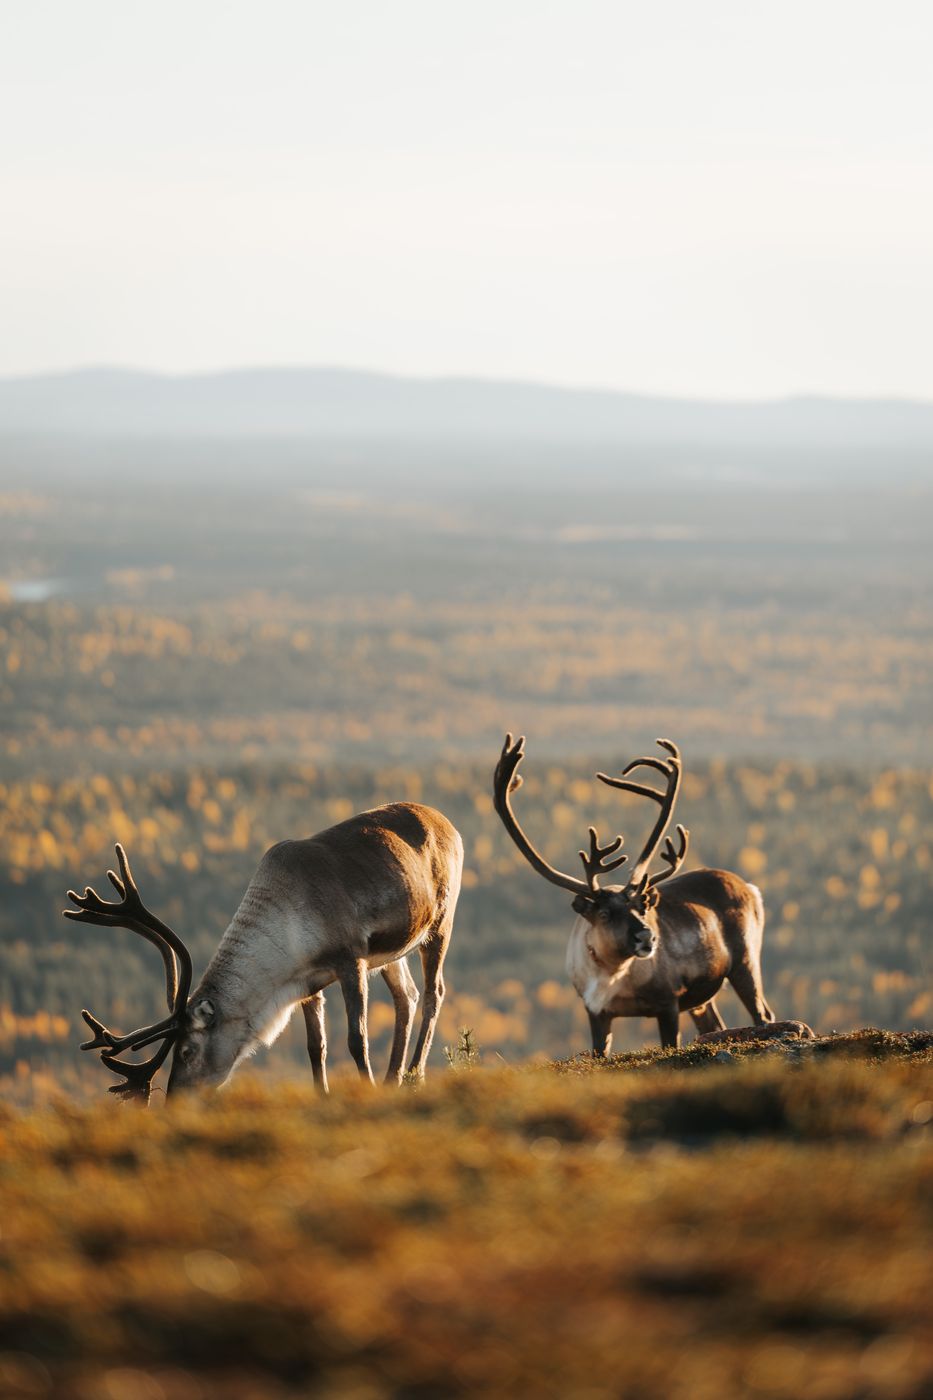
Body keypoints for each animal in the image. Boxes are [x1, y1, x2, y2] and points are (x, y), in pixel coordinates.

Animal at [63, 801, 463, 1102]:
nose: (174, 1098)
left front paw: (364, 1088)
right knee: (406, 996)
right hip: (395, 950)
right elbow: (316, 1045)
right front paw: (322, 1094)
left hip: (440, 923)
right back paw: (393, 1078)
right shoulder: (308, 981)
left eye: (186, 1051)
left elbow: (356, 1039)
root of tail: (447, 822)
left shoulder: (351, 958)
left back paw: (414, 1074)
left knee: (434, 993)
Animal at [493, 734, 776, 1053]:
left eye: (642, 908)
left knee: (762, 1012)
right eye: (604, 913)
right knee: (714, 1024)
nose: (647, 937)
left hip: (745, 959)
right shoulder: (595, 1011)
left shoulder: (668, 1003)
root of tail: (749, 887)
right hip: (703, 996)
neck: (611, 975)